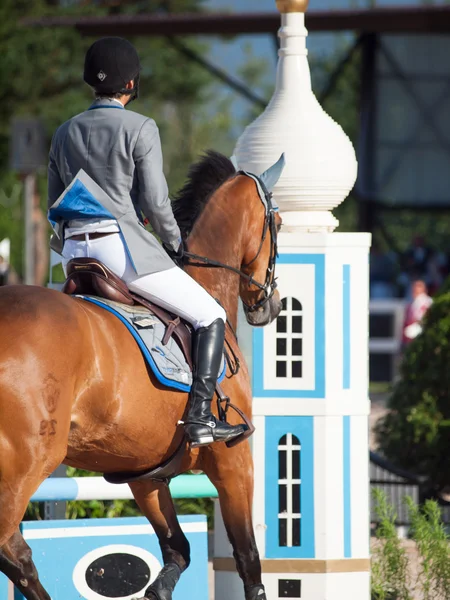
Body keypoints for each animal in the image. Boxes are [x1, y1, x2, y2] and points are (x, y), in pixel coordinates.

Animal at [0, 151, 282, 600]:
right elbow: (248, 558)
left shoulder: (143, 471)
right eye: (279, 223)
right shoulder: (234, 460)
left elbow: (177, 550)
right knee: (13, 549)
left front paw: (157, 590)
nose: (270, 306)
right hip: (24, 464)